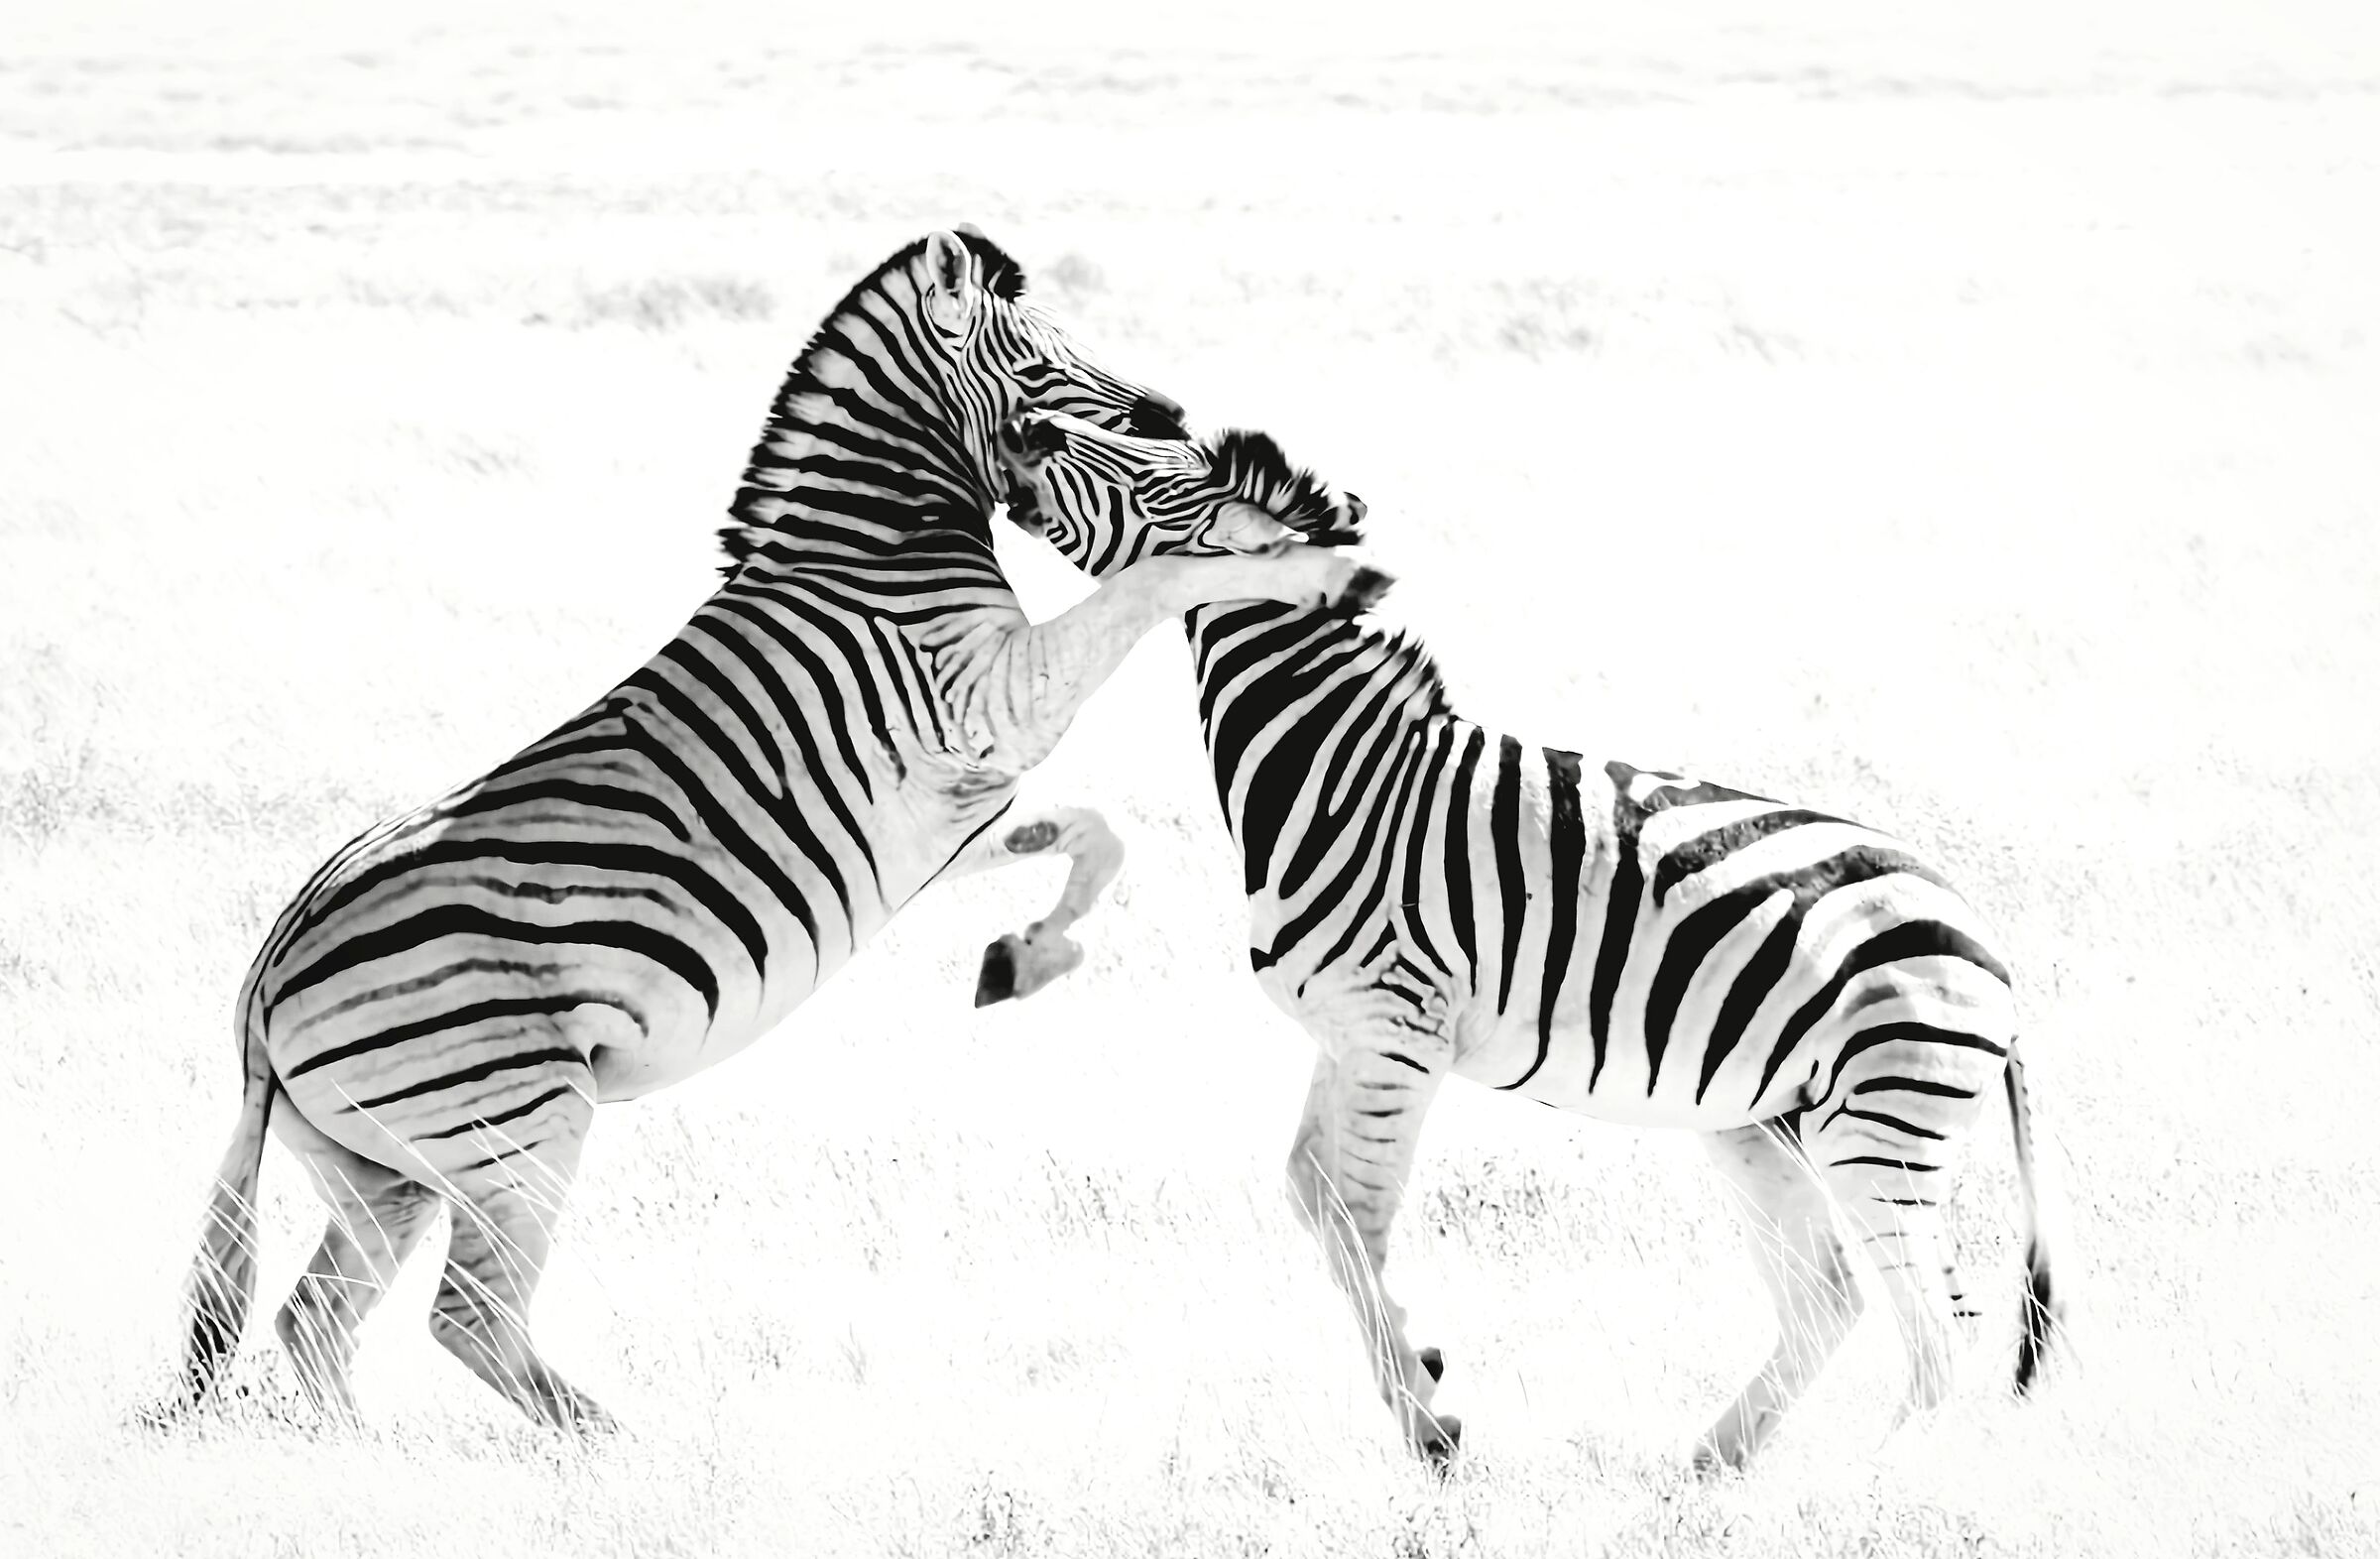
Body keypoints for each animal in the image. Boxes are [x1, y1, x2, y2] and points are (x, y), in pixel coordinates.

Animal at [165, 229, 1389, 1430]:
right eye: (1041, 359)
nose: (1173, 411)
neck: (880, 554)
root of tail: (261, 994)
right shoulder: (997, 698)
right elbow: (1155, 587)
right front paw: (1319, 570)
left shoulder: (963, 804)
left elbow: (1096, 832)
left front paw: (1024, 960)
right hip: (517, 1123)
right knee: (466, 1318)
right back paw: (627, 1450)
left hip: (391, 1169)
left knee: (316, 1320)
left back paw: (368, 1458)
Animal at [997, 408, 2065, 1472]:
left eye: (1149, 482)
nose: (1026, 427)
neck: (1337, 773)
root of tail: (1989, 949)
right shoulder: (1345, 1033)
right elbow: (1315, 1195)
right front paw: (1423, 1376)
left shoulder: (1396, 1029)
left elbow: (1362, 1213)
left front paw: (1429, 1424)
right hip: (1763, 1121)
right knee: (1831, 1292)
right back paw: (1710, 1469)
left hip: (1880, 1130)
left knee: (1934, 1327)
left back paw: (1869, 1485)